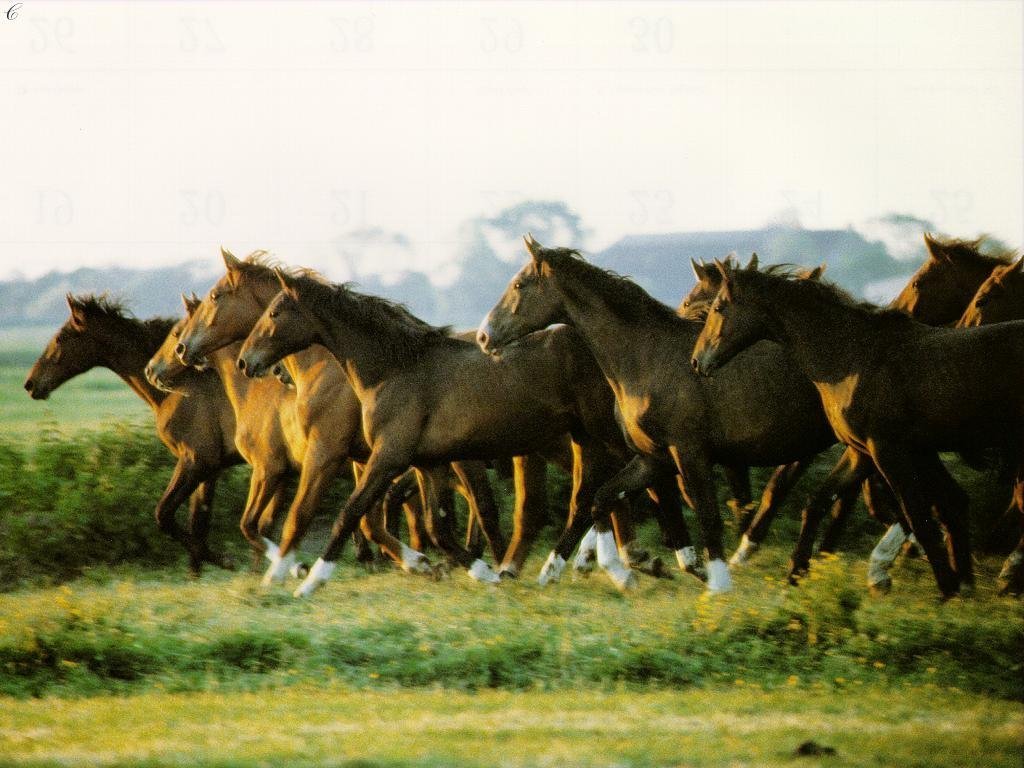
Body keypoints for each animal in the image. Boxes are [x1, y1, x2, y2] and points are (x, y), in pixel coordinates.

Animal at [24, 296, 240, 573]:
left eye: (61, 337)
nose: (31, 384)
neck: (178, 389)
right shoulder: (209, 470)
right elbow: (198, 524)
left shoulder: (197, 461)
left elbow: (164, 515)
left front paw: (226, 560)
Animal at [475, 234, 835, 593]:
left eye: (519, 284)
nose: (483, 336)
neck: (646, 358)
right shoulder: (653, 456)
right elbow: (605, 499)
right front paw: (557, 570)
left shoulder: (689, 452)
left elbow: (705, 513)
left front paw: (715, 582)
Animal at [688, 268, 1024, 598]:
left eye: (718, 308)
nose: (696, 361)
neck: (852, 359)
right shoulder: (863, 452)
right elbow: (818, 503)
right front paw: (794, 575)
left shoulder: (887, 450)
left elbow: (918, 517)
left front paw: (947, 590)